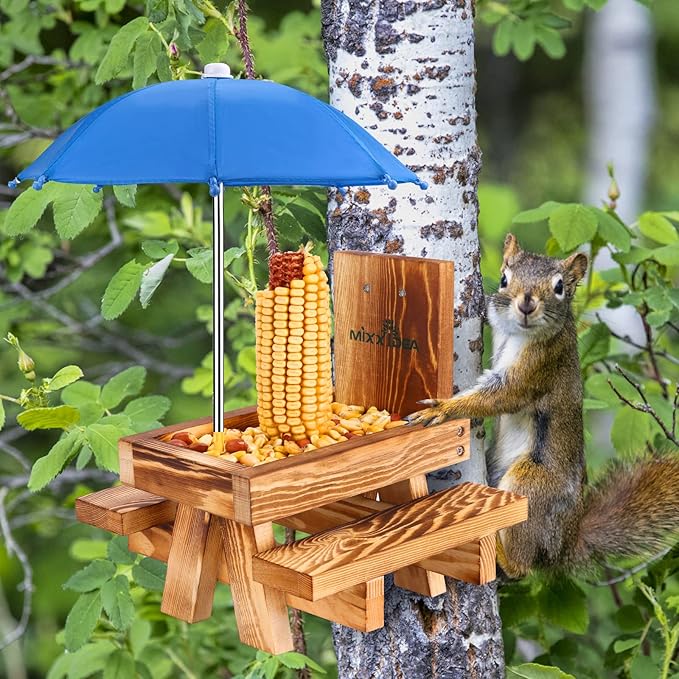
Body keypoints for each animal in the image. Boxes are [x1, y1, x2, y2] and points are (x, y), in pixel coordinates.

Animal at [407, 233, 679, 579]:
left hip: (533, 484)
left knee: (522, 567)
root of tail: (564, 545)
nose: (526, 304)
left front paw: (442, 410)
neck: (518, 332)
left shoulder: (541, 364)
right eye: (505, 279)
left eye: (560, 286)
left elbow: (503, 395)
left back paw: (503, 554)